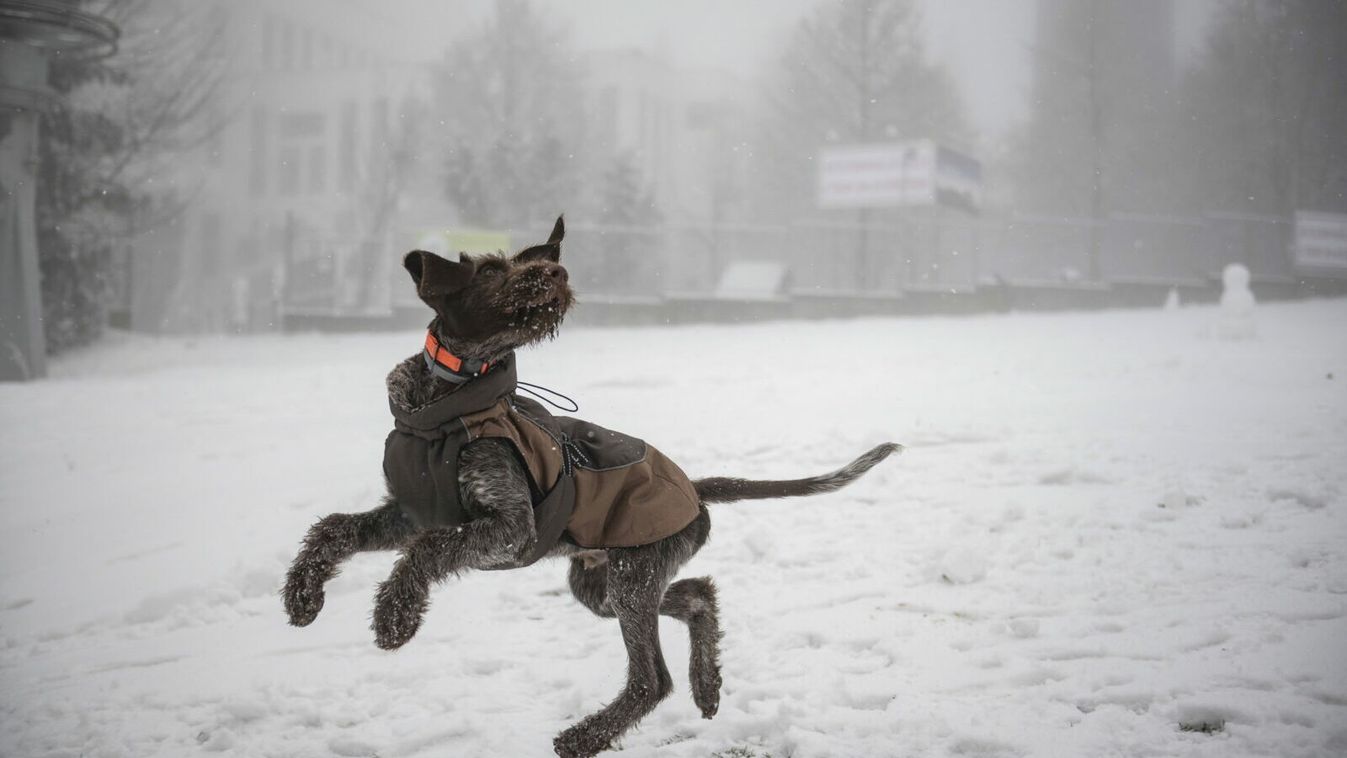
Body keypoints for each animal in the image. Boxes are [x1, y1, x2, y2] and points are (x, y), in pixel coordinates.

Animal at [278, 218, 899, 758]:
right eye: (490, 270)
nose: (556, 273)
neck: (445, 404)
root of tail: (695, 492)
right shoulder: (410, 511)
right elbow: (335, 529)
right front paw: (303, 596)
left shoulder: (509, 526)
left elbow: (426, 552)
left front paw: (395, 618)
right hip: (603, 583)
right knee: (698, 594)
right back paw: (707, 686)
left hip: (630, 579)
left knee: (652, 680)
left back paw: (584, 737)